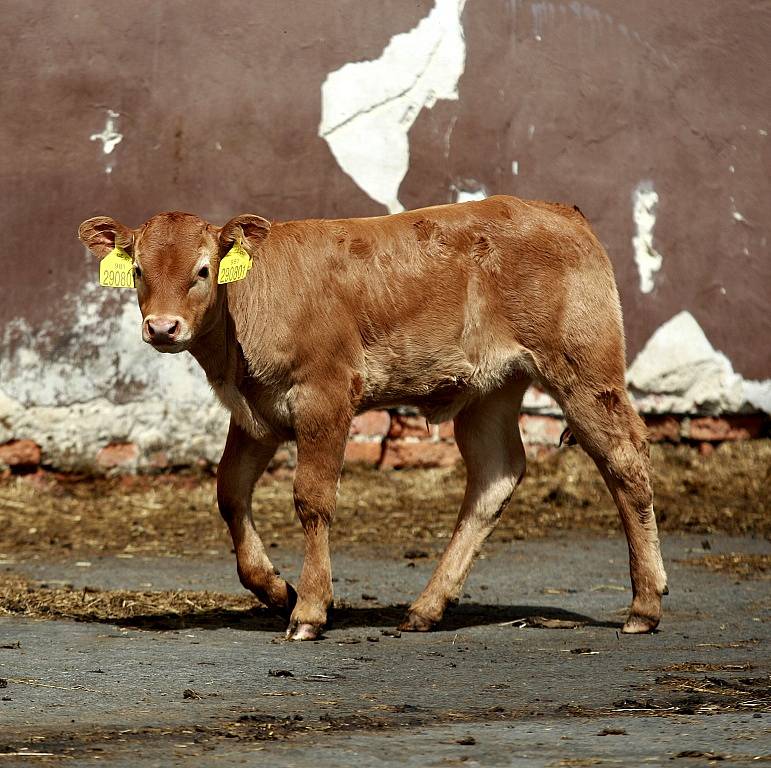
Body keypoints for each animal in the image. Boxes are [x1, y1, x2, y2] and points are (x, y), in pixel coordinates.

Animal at [80, 195, 668, 640]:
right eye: (138, 270)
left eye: (203, 271)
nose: (162, 327)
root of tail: (562, 212)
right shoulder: (256, 413)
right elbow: (230, 492)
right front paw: (276, 589)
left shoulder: (325, 396)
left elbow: (312, 499)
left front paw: (309, 611)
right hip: (492, 390)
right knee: (495, 474)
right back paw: (426, 608)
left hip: (585, 371)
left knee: (625, 462)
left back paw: (644, 605)